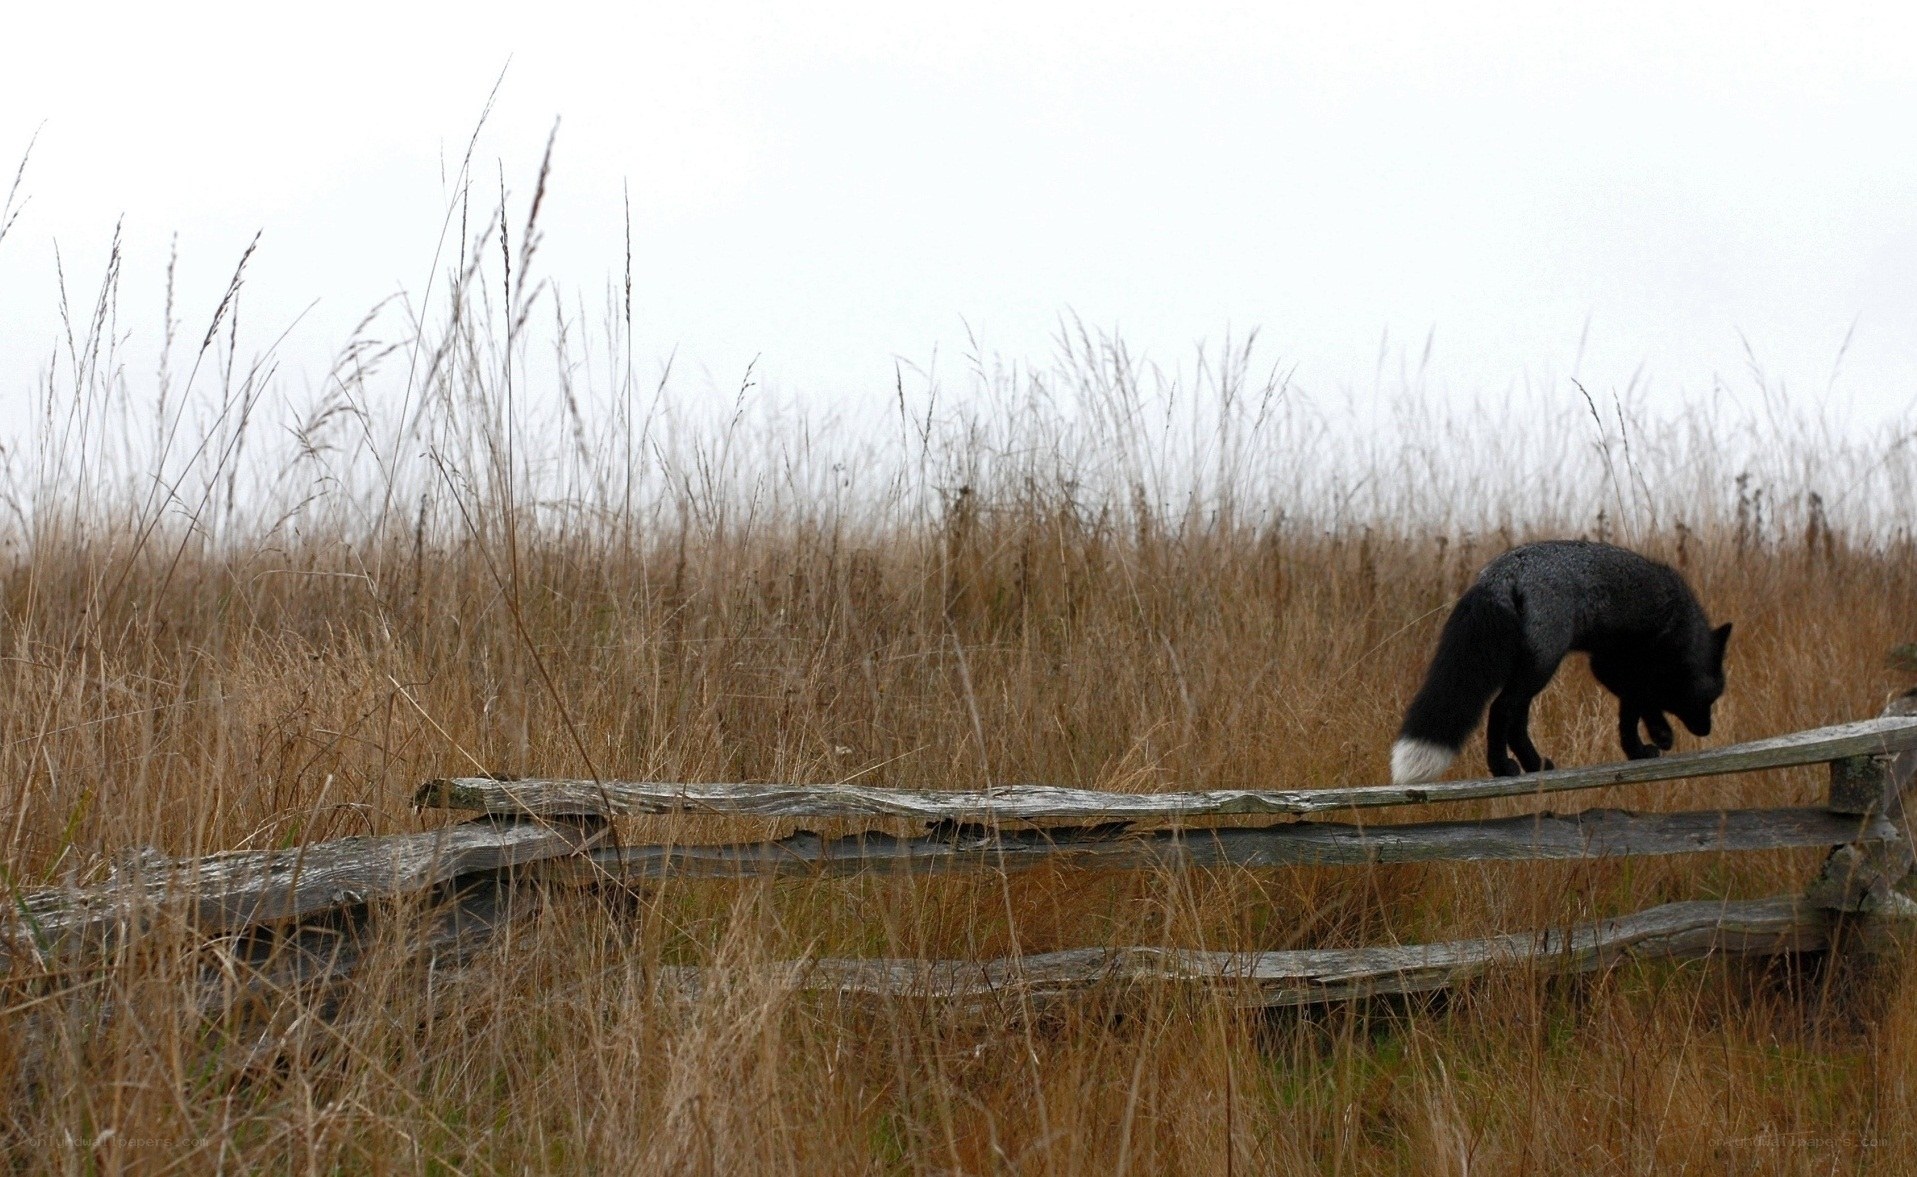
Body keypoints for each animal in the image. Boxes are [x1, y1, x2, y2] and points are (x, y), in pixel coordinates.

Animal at [1390, 540, 1732, 784]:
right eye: (1707, 698)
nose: (1706, 730)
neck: (1682, 626)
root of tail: (1503, 571)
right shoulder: (1623, 669)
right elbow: (1639, 705)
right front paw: (1655, 738)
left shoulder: (1609, 667)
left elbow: (1631, 712)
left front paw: (1639, 748)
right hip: (1542, 666)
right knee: (1501, 709)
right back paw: (1502, 767)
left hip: (1529, 669)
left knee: (1517, 720)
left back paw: (1534, 764)